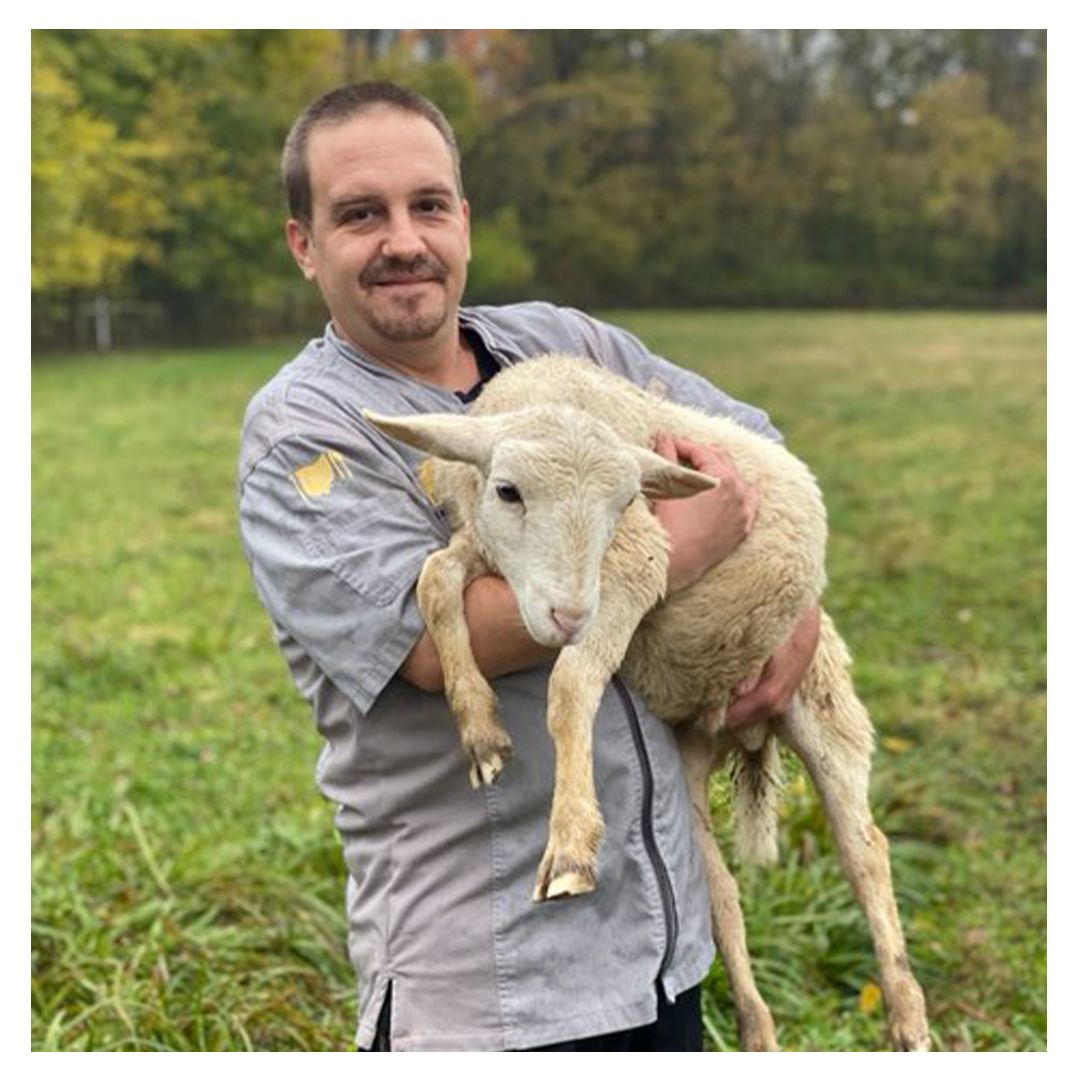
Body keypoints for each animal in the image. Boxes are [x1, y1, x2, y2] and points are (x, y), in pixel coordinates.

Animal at [364, 354, 930, 1052]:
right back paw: (757, 1029)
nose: (569, 615)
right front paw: (479, 731)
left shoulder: (638, 560)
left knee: (865, 854)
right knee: (720, 893)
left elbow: (571, 683)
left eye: (625, 500)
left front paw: (571, 845)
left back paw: (907, 1018)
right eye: (509, 491)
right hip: (688, 753)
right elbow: (434, 582)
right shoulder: (490, 550)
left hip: (820, 698)